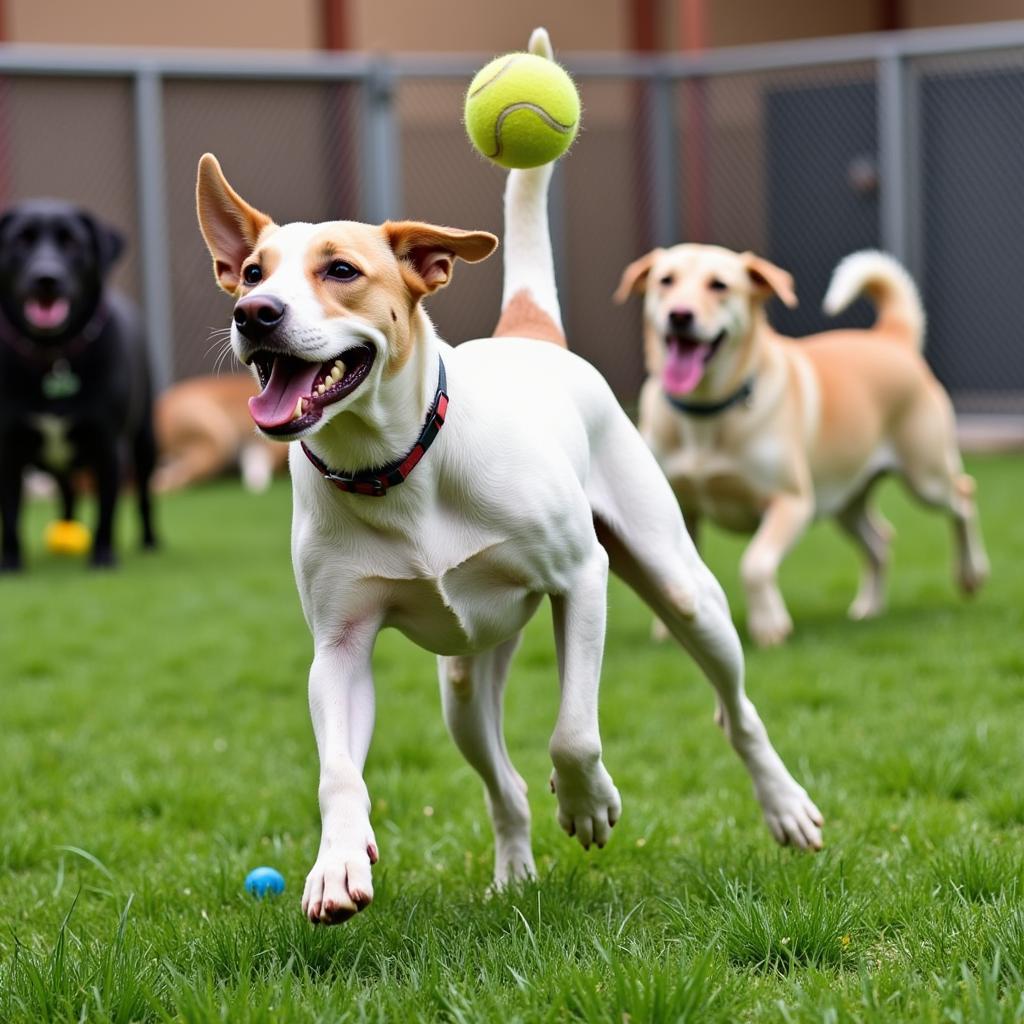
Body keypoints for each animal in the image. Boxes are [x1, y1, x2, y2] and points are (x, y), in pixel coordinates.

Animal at [0, 199, 155, 569]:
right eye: (20, 240)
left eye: (71, 243)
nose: (46, 278)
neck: (53, 355)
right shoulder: (8, 447)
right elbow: (11, 512)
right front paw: (11, 562)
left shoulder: (108, 445)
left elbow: (107, 509)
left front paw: (103, 557)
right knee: (67, 492)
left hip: (145, 440)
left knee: (143, 494)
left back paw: (149, 542)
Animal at [197, 29, 823, 929]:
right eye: (250, 272)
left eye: (341, 271)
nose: (254, 316)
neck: (396, 468)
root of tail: (529, 333)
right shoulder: (339, 646)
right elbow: (338, 770)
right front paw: (337, 862)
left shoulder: (582, 578)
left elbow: (575, 731)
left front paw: (589, 801)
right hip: (465, 682)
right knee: (504, 782)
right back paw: (515, 872)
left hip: (682, 588)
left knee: (732, 707)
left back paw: (783, 806)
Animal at [610, 245, 987, 647]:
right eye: (666, 280)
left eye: (719, 285)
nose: (680, 314)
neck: (705, 413)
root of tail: (891, 338)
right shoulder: (674, 508)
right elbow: (671, 572)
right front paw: (674, 631)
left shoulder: (792, 502)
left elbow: (755, 564)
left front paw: (769, 626)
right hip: (844, 498)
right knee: (880, 540)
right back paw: (869, 608)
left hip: (925, 477)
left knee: (964, 497)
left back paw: (970, 574)